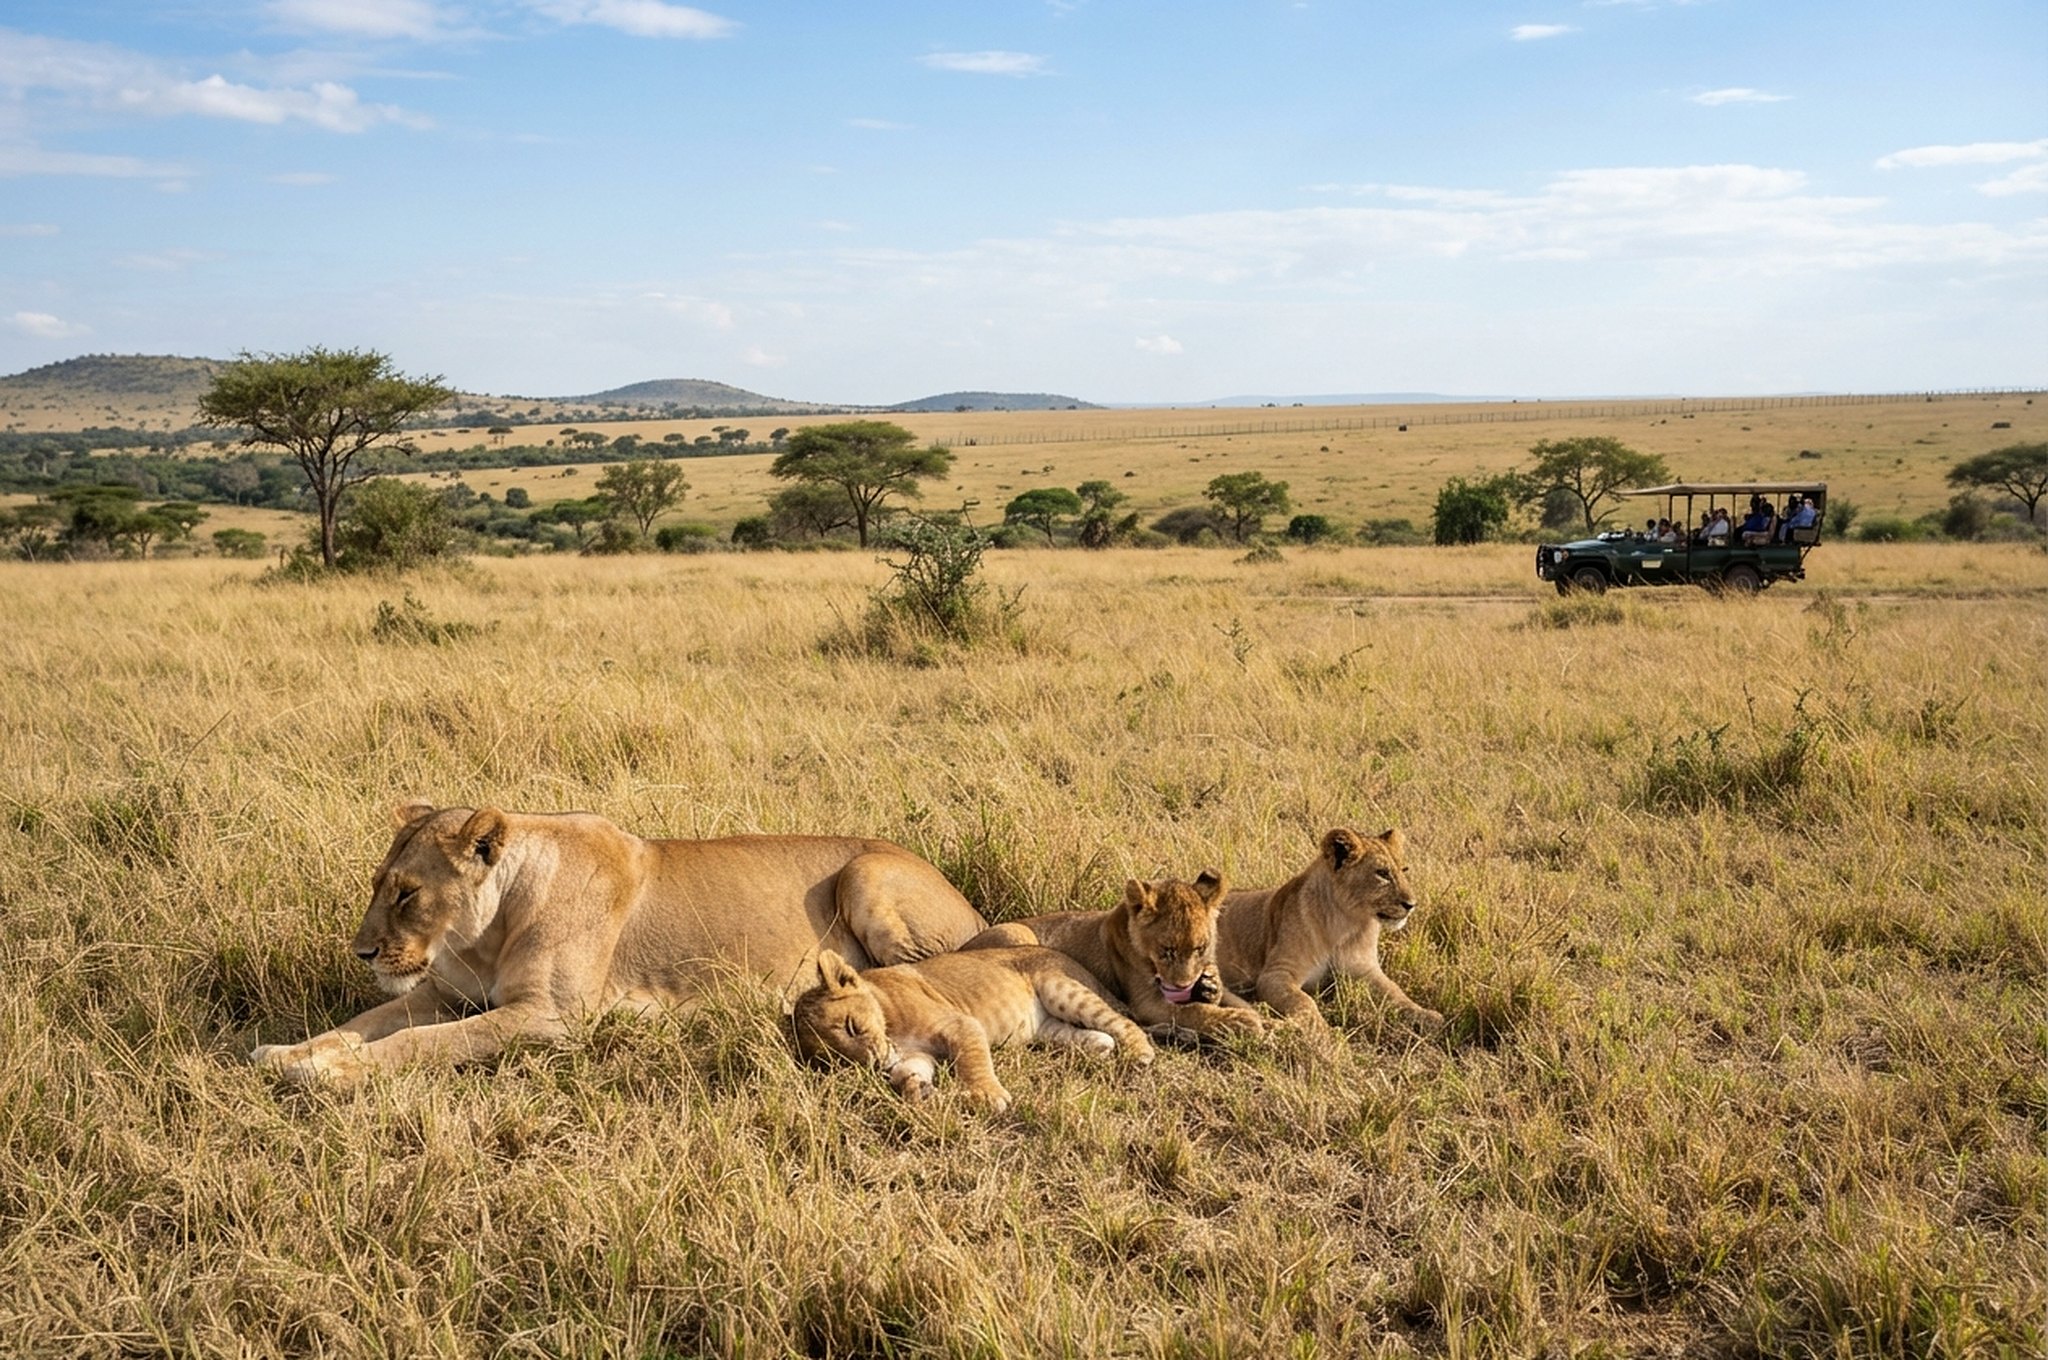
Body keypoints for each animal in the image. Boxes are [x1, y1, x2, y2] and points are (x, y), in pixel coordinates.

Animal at [249, 802, 988, 1086]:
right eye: (379, 884)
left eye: (406, 893)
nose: (364, 954)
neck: (487, 933)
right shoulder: (440, 991)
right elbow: (362, 1022)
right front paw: (288, 1054)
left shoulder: (551, 1017)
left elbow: (422, 1043)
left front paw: (329, 1073)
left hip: (867, 874)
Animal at [790, 945, 1154, 1114]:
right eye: (837, 1062)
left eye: (851, 1027)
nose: (875, 1064)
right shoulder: (916, 1055)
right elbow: (908, 1074)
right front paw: (918, 1091)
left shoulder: (961, 1024)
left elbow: (972, 1063)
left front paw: (988, 1096)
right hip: (1047, 1026)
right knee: (1083, 1033)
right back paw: (1098, 1045)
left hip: (1060, 987)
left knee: (1123, 1021)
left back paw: (1140, 1054)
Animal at [964, 872, 1263, 1042]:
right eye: (1166, 951)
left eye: (1199, 948)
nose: (1182, 986)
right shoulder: (1147, 1002)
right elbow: (1195, 1010)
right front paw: (1243, 1022)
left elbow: (1233, 1001)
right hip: (1018, 933)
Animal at [1213, 827, 1442, 1032]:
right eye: (1382, 874)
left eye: (1404, 870)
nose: (1411, 904)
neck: (1344, 924)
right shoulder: (1276, 973)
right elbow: (1304, 1000)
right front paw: (1318, 1027)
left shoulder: (1366, 970)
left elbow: (1396, 993)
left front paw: (1428, 1016)